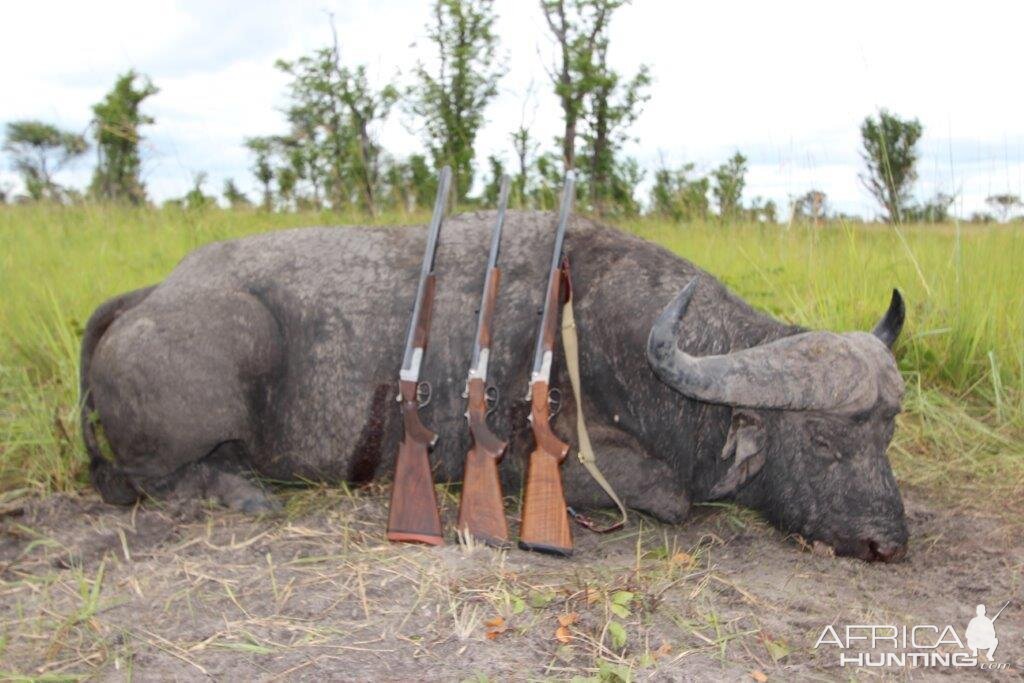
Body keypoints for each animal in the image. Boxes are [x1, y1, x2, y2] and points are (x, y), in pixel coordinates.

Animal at [83, 211, 909, 561]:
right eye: (825, 441)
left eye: (887, 433)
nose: (888, 541)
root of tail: (150, 296)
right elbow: (672, 494)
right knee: (157, 478)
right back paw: (239, 491)